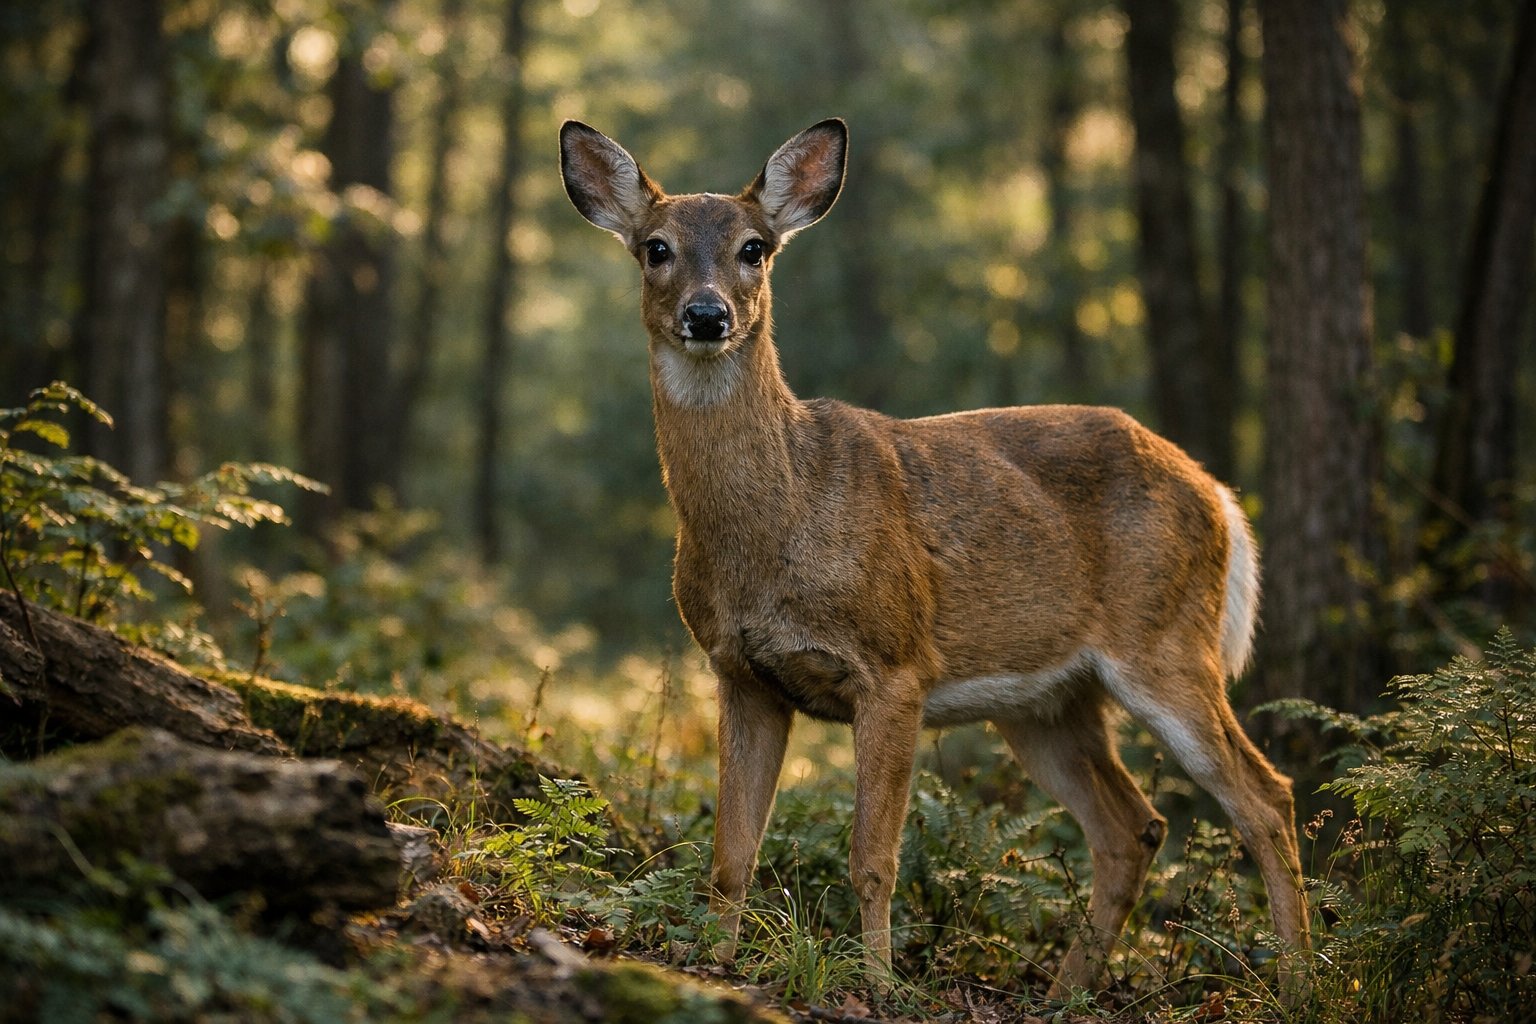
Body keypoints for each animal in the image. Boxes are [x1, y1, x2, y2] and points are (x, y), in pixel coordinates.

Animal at [559, 116, 1309, 997]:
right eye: (656, 248)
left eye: (755, 248)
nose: (707, 315)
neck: (780, 523)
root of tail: (1218, 493)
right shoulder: (741, 674)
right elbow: (731, 854)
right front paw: (713, 963)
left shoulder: (895, 664)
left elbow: (872, 857)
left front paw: (880, 985)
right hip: (1047, 702)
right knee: (1135, 825)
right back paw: (1064, 994)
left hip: (1166, 643)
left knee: (1266, 797)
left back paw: (1301, 981)